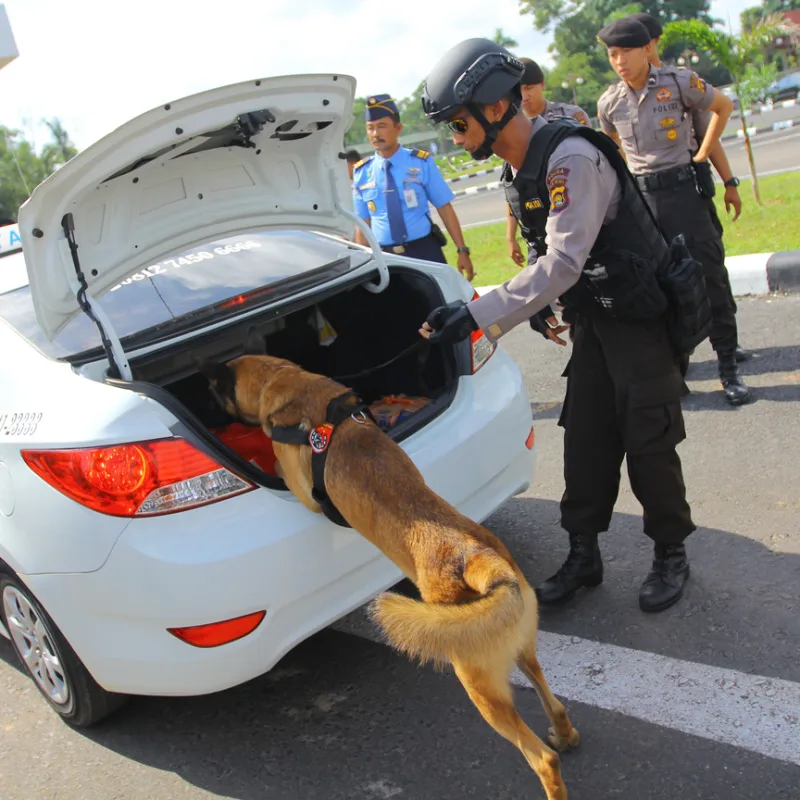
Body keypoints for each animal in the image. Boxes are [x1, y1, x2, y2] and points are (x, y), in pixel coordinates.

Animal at [203, 354, 580, 796]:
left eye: (216, 388)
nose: (204, 384)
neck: (288, 382)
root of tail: (481, 560)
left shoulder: (303, 490)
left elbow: (283, 468)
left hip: (480, 686)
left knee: (542, 758)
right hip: (522, 651)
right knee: (552, 701)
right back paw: (565, 734)